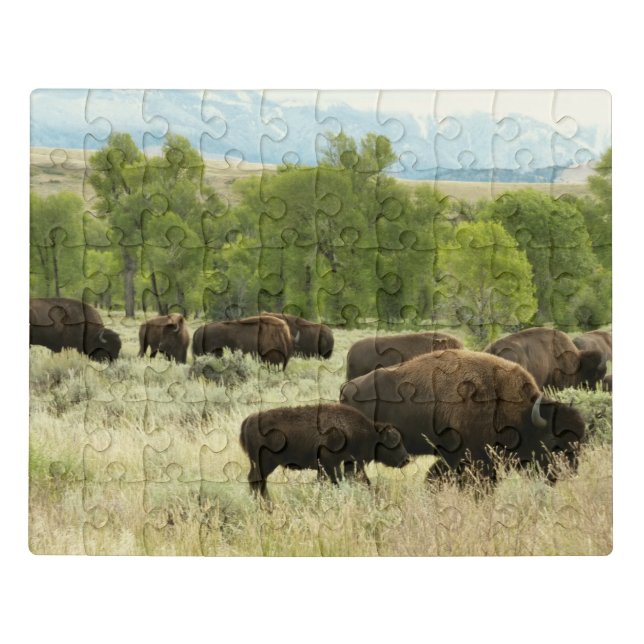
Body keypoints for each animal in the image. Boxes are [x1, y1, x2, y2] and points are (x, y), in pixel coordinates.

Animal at [239, 403, 410, 498]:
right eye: (392, 441)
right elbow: (337, 481)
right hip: (264, 463)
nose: (406, 459)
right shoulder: (331, 464)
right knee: (256, 480)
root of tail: (249, 420)